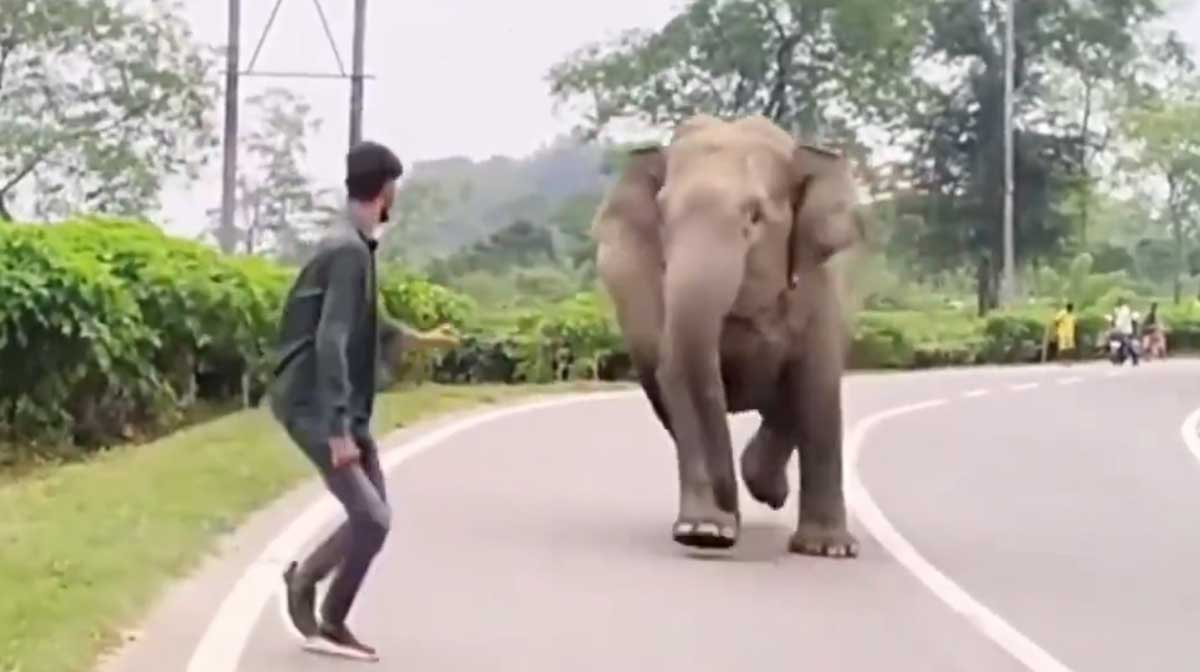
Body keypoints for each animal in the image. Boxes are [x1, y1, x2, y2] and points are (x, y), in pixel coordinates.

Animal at [591, 113, 862, 557]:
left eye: (755, 216)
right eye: (662, 216)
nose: (725, 505)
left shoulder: (819, 287)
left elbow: (817, 383)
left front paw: (829, 549)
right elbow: (677, 373)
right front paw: (704, 532)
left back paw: (764, 489)